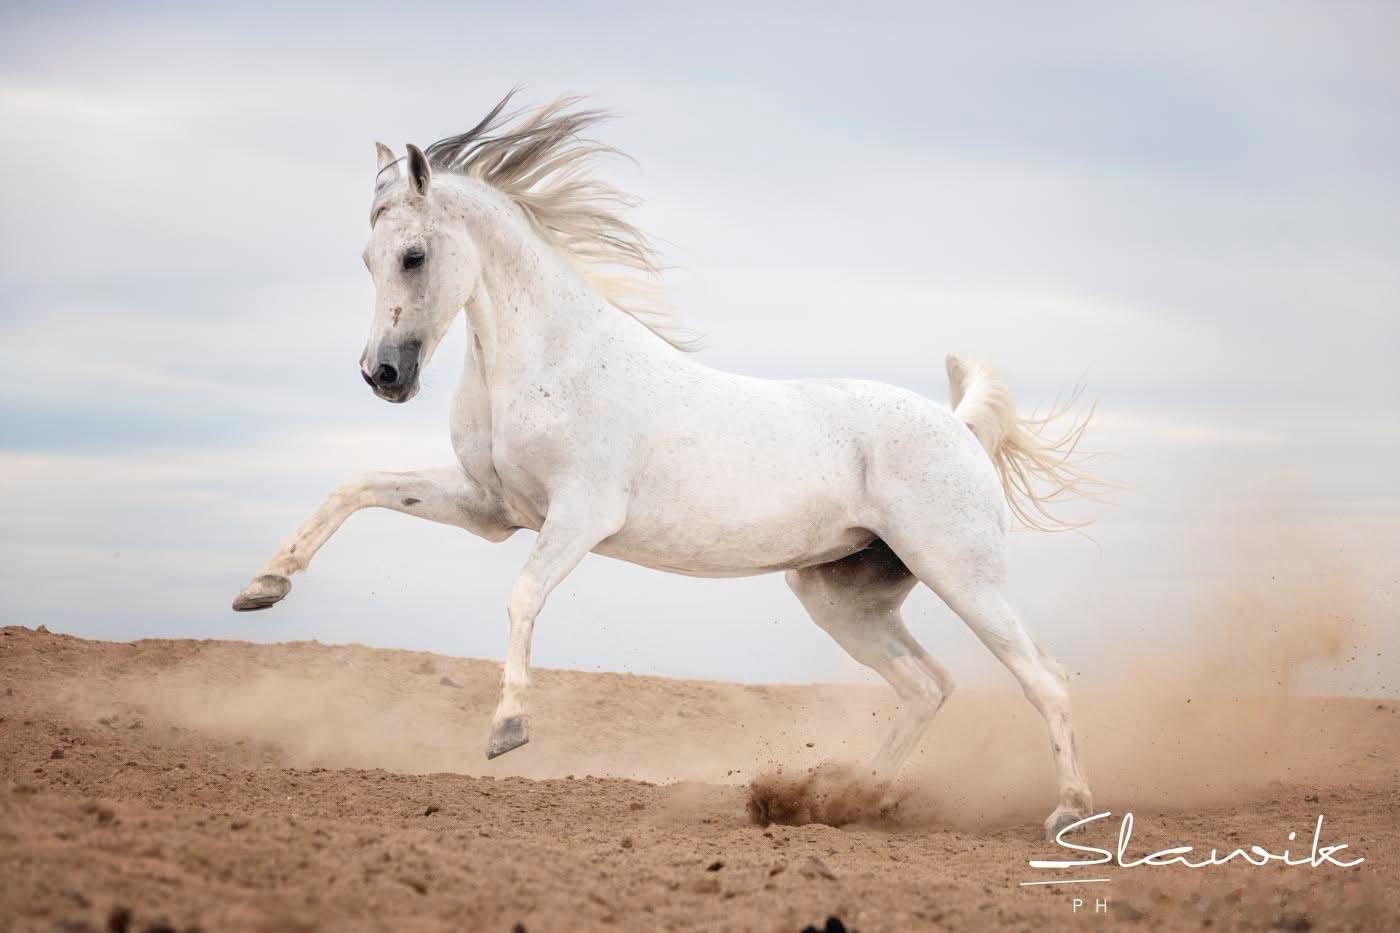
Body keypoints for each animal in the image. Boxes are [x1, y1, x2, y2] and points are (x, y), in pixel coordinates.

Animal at [233, 92, 1101, 839]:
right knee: (929, 685)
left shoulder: (578, 516)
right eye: (366, 257)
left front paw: (507, 728)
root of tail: (958, 427)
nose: (382, 376)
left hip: (960, 572)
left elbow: (520, 596)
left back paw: (1066, 813)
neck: (549, 358)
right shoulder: (491, 508)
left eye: (412, 255)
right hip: (842, 596)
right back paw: (847, 800)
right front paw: (263, 586)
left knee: (1044, 679)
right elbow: (356, 487)